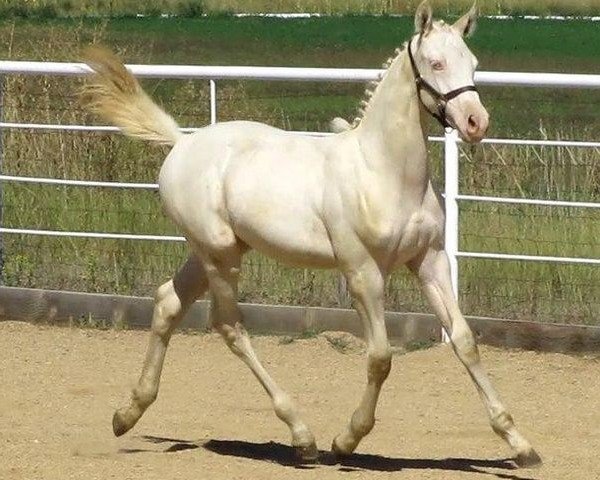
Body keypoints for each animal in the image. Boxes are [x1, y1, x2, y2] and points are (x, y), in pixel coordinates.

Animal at [85, 1, 544, 466]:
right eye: (436, 63)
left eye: (473, 63)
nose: (475, 123)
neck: (384, 172)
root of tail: (181, 143)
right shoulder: (362, 271)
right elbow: (380, 357)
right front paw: (347, 440)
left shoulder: (429, 261)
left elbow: (465, 342)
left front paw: (520, 444)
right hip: (220, 256)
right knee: (229, 326)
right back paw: (302, 436)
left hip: (214, 251)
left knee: (167, 303)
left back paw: (127, 414)